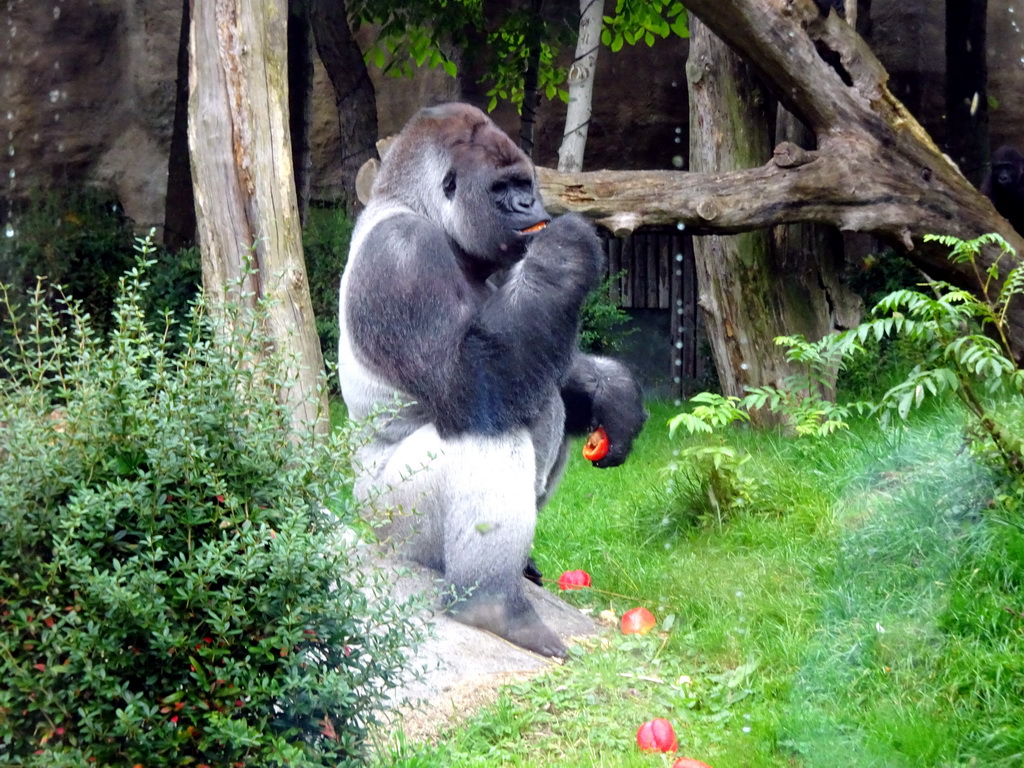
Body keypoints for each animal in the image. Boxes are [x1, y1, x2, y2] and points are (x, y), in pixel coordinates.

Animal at [339, 103, 643, 663]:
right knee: (490, 429)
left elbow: (538, 353)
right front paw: (565, 251)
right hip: (392, 520)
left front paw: (611, 392)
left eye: (526, 183)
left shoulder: (508, 269)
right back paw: (492, 602)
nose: (529, 204)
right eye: (503, 189)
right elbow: (472, 384)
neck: (414, 206)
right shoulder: (403, 254)